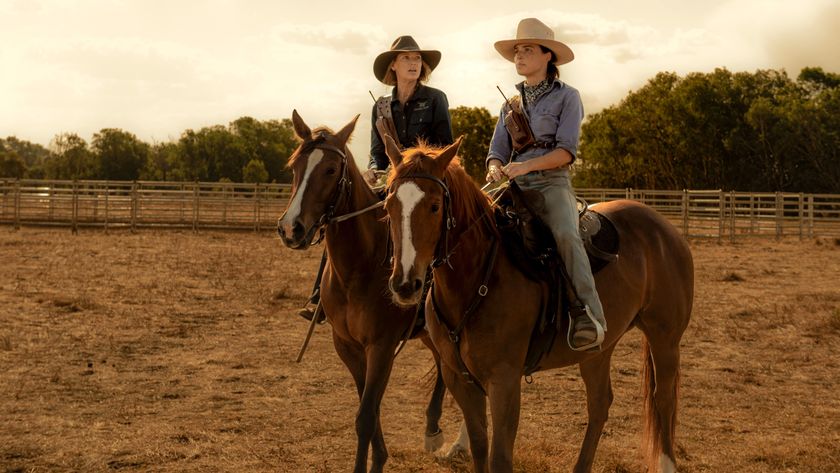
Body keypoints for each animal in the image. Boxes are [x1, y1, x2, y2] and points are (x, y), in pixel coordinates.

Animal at [278, 112, 456, 470]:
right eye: (294, 167)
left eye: (331, 170)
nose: (291, 229)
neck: (359, 268)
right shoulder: (347, 346)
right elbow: (367, 406)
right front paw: (380, 457)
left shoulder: (382, 347)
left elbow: (365, 416)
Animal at [382, 137, 696, 472]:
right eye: (389, 206)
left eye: (434, 206)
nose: (405, 284)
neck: (479, 276)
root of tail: (664, 227)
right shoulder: (459, 378)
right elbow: (479, 448)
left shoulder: (505, 381)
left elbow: (499, 457)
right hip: (598, 350)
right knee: (600, 403)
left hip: (665, 338)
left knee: (663, 399)